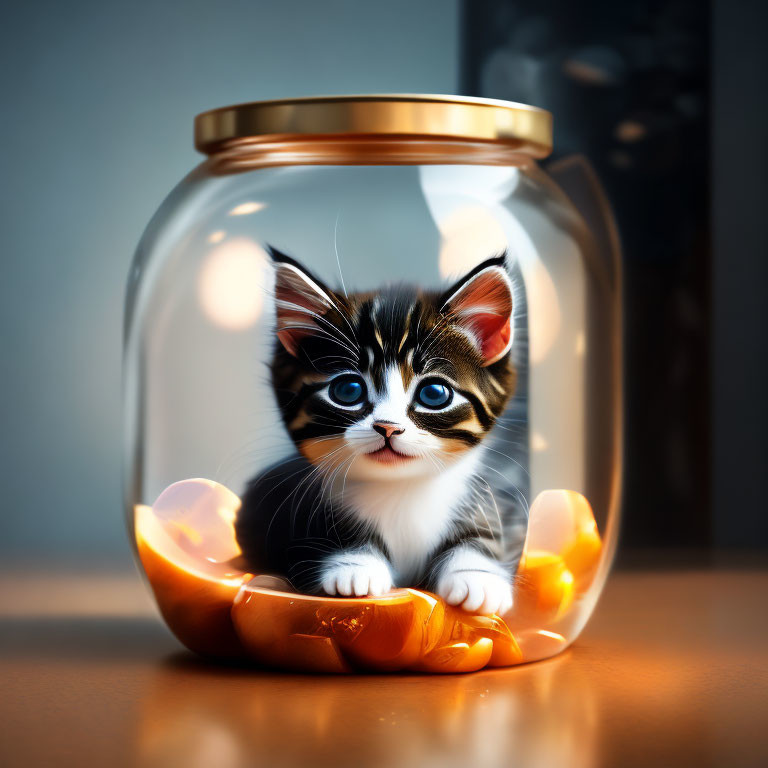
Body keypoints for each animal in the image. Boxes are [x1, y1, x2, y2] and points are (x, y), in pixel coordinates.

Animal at [236, 249, 520, 616]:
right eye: (348, 390)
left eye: (434, 394)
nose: (388, 427)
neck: (401, 490)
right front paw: (354, 565)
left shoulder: (502, 503)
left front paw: (476, 574)